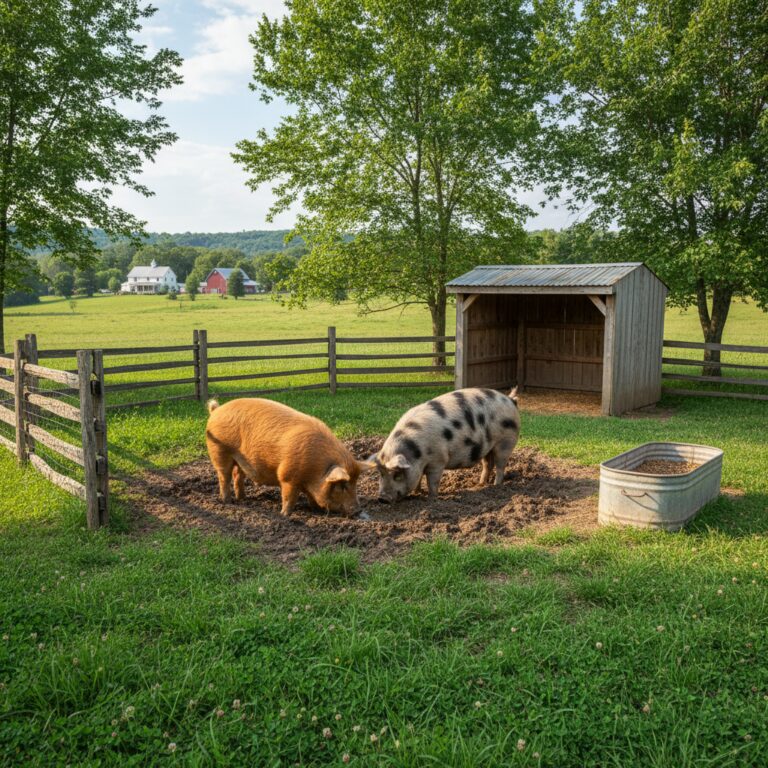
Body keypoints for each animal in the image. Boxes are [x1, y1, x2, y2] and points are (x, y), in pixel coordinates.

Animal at [205, 398, 373, 516]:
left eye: (355, 483)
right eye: (342, 485)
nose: (358, 511)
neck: (315, 470)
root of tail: (216, 410)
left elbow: (311, 497)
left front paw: (316, 510)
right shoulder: (287, 477)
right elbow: (289, 498)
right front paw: (284, 515)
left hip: (240, 460)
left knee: (237, 476)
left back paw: (242, 499)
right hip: (219, 451)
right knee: (224, 476)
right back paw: (227, 501)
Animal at [371, 387, 520, 503]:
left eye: (397, 475)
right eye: (381, 474)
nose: (382, 499)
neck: (418, 452)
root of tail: (510, 400)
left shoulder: (438, 460)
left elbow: (432, 481)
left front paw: (431, 498)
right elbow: (418, 478)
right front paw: (417, 493)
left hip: (506, 441)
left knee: (500, 465)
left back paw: (496, 486)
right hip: (488, 447)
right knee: (488, 464)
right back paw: (481, 484)